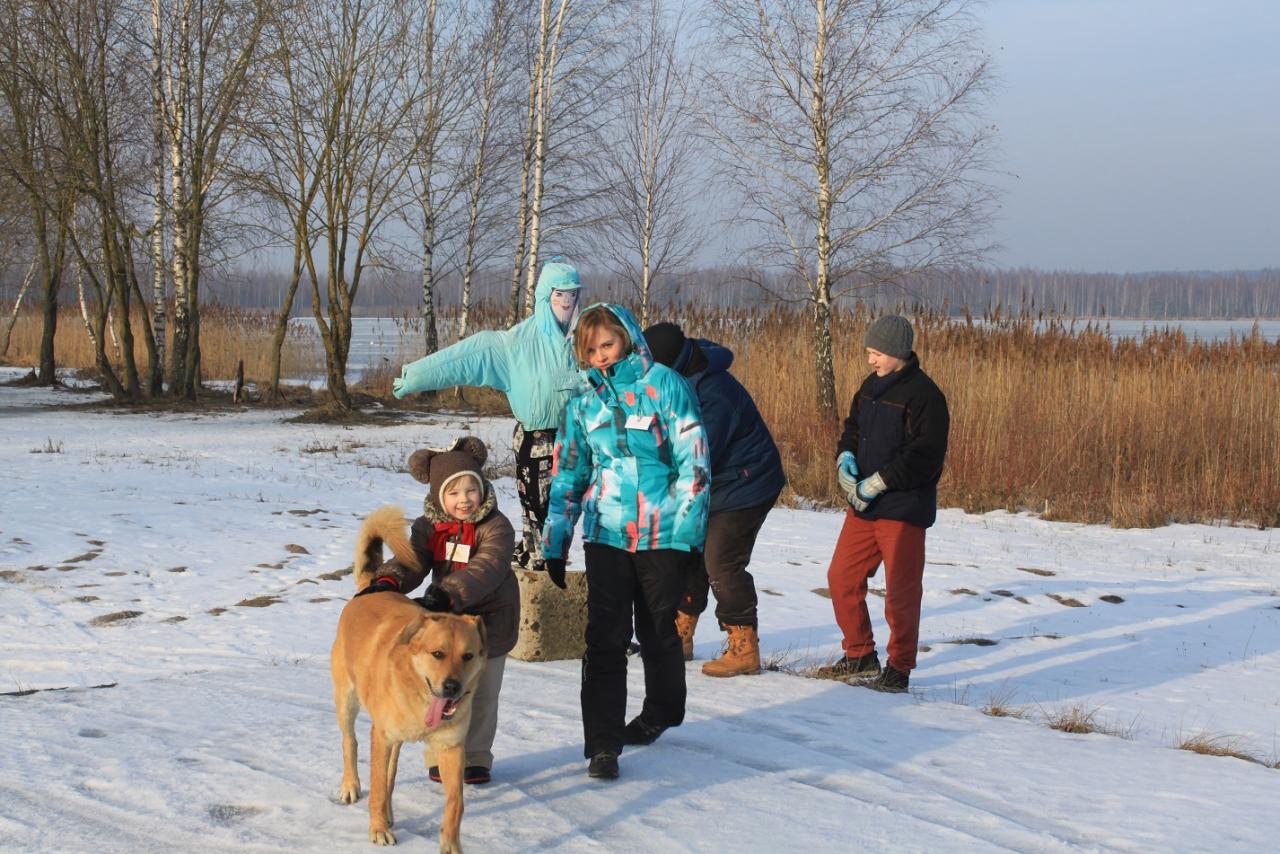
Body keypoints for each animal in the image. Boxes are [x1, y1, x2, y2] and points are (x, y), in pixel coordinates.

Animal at [331, 506, 487, 851]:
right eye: (438, 654)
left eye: (468, 656)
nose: (452, 687)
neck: (421, 696)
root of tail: (370, 587)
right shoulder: (381, 736)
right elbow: (376, 786)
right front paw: (377, 829)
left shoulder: (451, 748)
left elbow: (456, 802)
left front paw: (450, 843)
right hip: (347, 702)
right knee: (350, 742)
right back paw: (351, 786)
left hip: (395, 739)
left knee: (390, 773)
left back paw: (389, 811)